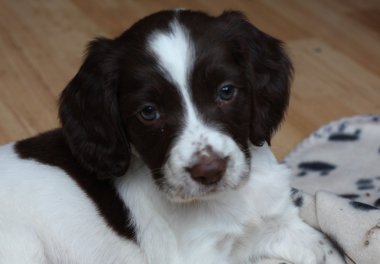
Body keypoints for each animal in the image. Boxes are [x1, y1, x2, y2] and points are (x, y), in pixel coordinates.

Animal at [0, 9, 344, 264]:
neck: (229, 201)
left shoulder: (279, 222)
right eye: (149, 112)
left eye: (226, 91)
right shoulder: (198, 255)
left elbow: (327, 249)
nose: (209, 172)